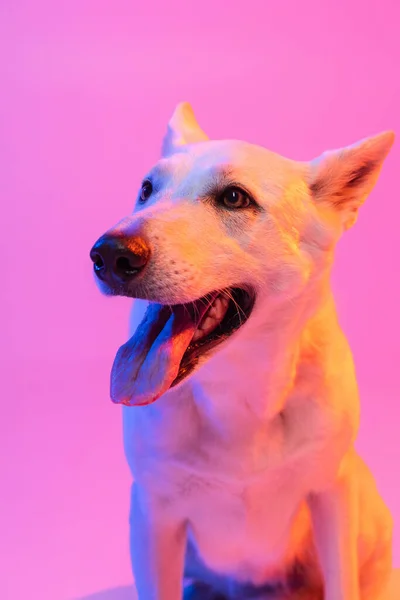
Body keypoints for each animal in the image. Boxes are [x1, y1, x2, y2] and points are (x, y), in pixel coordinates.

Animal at [90, 104, 394, 600]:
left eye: (234, 198)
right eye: (146, 190)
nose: (109, 254)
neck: (239, 397)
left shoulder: (332, 495)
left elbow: (342, 581)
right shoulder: (152, 515)